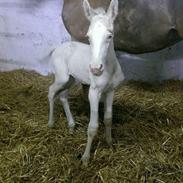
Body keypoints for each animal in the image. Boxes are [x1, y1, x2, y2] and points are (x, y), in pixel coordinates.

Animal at [47, 0, 124, 166]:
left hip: (72, 79)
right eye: (88, 37)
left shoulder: (111, 90)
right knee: (51, 91)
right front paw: (86, 158)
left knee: (63, 96)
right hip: (62, 77)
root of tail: (58, 48)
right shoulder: (93, 92)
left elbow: (108, 118)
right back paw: (51, 122)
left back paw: (71, 126)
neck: (109, 69)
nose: (95, 69)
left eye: (110, 35)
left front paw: (109, 143)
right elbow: (93, 126)